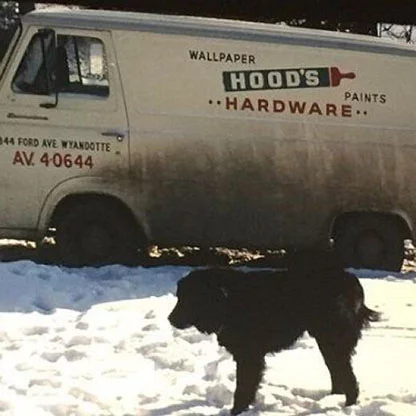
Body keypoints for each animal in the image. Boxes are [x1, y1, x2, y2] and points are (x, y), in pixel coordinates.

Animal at [169, 255, 380, 414]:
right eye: (179, 297)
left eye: (189, 299)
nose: (170, 319)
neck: (228, 301)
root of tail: (352, 281)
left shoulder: (249, 356)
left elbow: (243, 388)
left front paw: (237, 411)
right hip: (327, 340)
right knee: (337, 371)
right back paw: (333, 397)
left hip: (332, 338)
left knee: (347, 377)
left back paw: (347, 406)